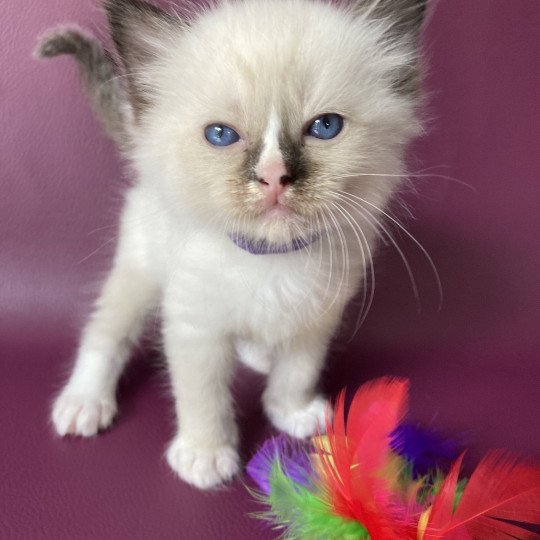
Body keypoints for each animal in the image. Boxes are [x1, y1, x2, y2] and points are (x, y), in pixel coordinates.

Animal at [37, 0, 426, 490]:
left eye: (325, 126)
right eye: (220, 135)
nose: (274, 176)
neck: (271, 261)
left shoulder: (316, 317)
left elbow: (296, 372)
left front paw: (291, 411)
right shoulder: (195, 326)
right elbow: (202, 397)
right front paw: (205, 456)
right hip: (138, 272)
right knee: (105, 333)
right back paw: (84, 403)